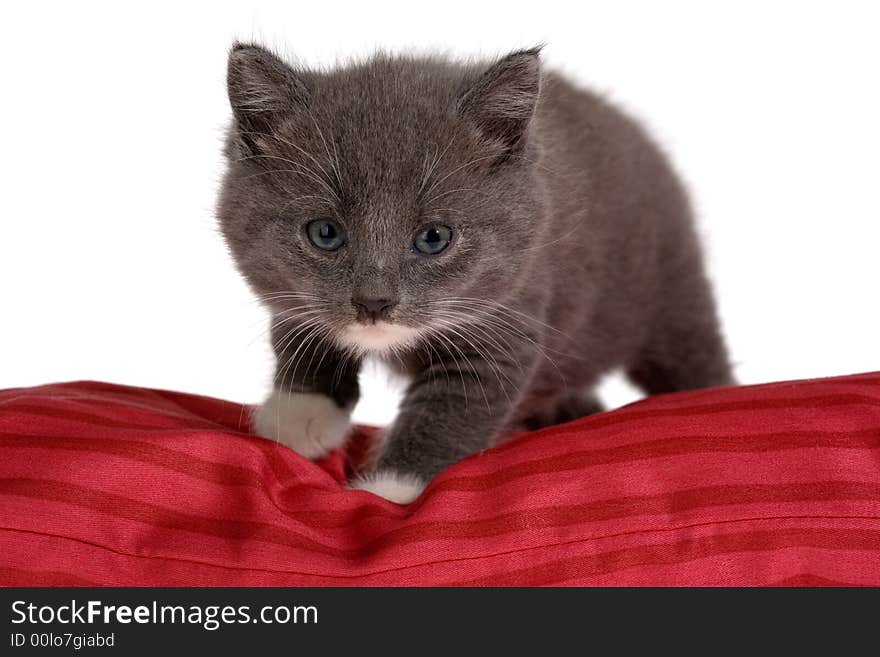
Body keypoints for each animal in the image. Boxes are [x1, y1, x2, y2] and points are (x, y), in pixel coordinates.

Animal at [218, 43, 736, 502]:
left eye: (434, 237)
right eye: (325, 232)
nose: (374, 302)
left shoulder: (510, 318)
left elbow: (451, 411)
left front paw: (390, 488)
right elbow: (300, 330)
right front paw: (300, 413)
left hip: (675, 290)